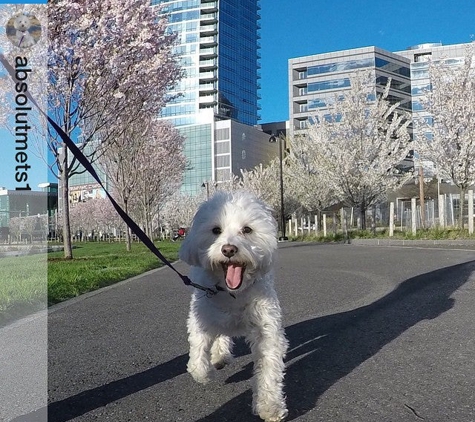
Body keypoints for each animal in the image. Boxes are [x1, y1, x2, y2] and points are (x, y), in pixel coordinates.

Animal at [179, 192, 288, 422]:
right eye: (215, 230)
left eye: (247, 229)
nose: (228, 249)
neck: (233, 293)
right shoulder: (201, 316)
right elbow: (198, 355)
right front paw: (205, 372)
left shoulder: (266, 327)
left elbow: (269, 367)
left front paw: (270, 407)